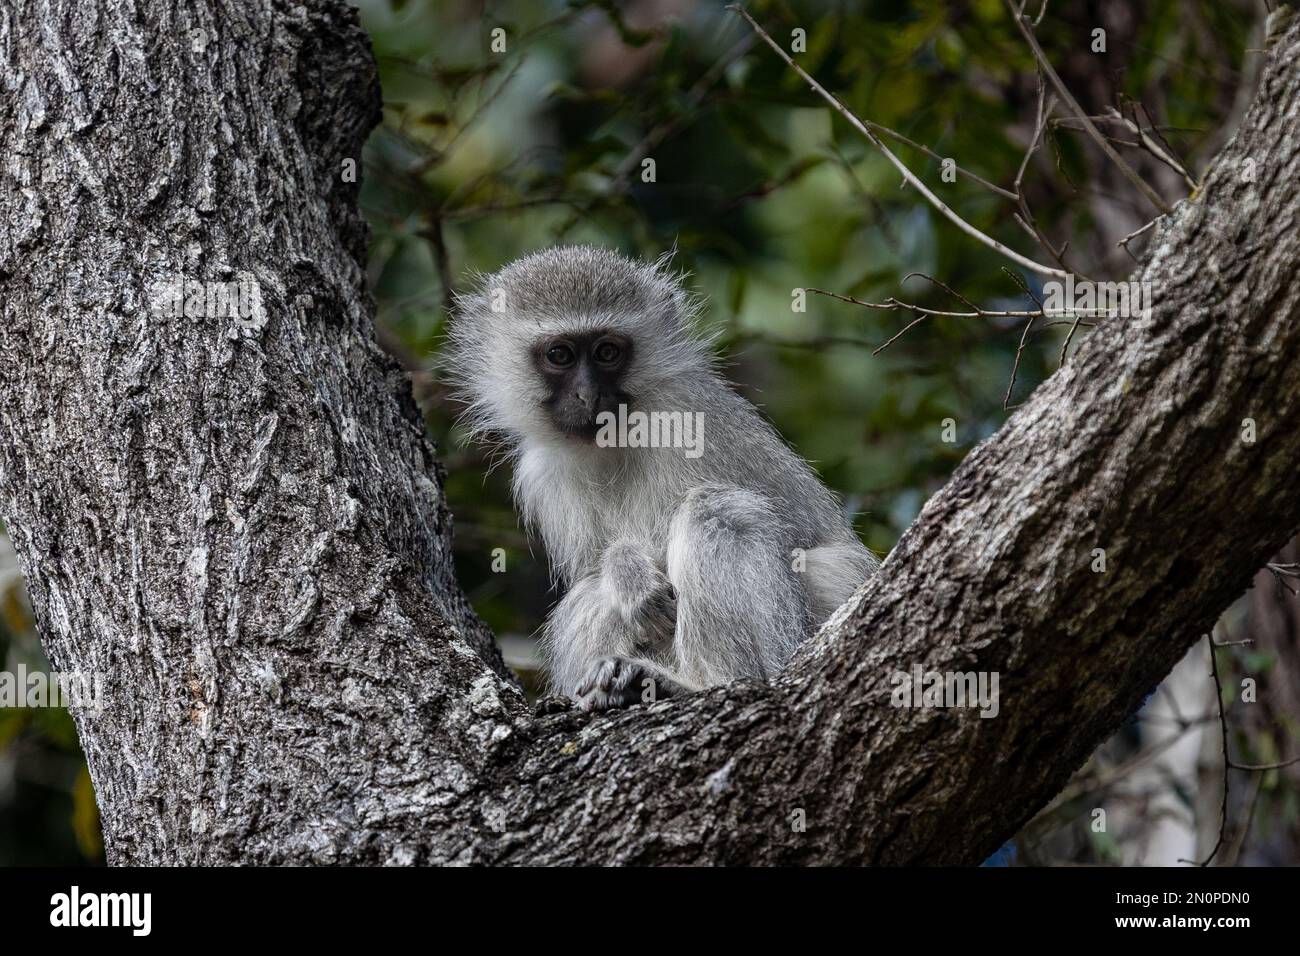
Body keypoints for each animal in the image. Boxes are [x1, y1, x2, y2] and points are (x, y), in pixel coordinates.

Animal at [444, 245, 879, 710]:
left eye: (607, 352)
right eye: (560, 355)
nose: (588, 395)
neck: (614, 439)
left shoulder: (685, 416)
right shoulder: (541, 473)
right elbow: (596, 570)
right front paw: (626, 570)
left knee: (715, 510)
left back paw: (699, 682)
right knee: (590, 594)